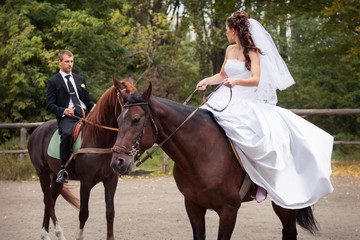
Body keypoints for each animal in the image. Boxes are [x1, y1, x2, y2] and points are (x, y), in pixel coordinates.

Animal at [28, 77, 136, 240]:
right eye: (124, 97)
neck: (98, 138)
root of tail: (37, 131)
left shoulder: (111, 181)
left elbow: (110, 213)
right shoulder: (86, 183)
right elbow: (83, 214)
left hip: (56, 177)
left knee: (49, 200)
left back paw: (45, 234)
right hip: (42, 173)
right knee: (49, 202)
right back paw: (58, 233)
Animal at [110, 82, 318, 240]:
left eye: (137, 119)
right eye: (118, 120)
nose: (117, 162)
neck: (201, 154)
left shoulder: (228, 211)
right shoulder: (193, 207)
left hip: (285, 204)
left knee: (289, 233)